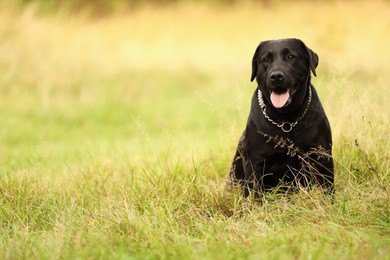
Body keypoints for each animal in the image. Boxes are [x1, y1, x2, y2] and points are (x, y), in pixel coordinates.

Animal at [230, 38, 334, 197]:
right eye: (266, 59)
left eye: (291, 57)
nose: (276, 76)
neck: (287, 121)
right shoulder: (255, 162)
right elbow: (252, 193)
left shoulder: (322, 156)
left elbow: (328, 189)